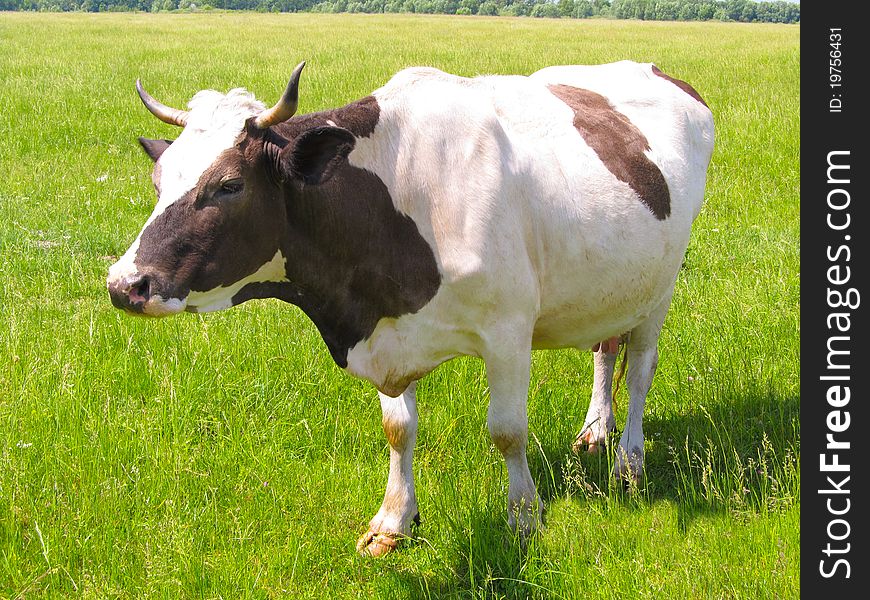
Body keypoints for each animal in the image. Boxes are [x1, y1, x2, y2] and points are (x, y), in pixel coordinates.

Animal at [107, 61, 716, 556]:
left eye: (229, 184)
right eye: (159, 180)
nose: (125, 284)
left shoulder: (508, 330)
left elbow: (507, 432)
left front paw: (524, 518)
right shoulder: (386, 325)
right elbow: (398, 428)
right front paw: (393, 522)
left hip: (659, 287)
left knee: (640, 370)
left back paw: (629, 461)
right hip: (615, 285)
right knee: (605, 348)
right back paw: (595, 428)